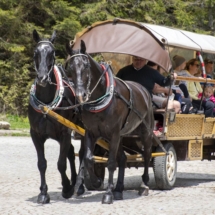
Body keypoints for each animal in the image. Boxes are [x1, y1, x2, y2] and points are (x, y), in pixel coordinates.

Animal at [28, 29, 85, 203]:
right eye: (35, 52)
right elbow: (42, 163)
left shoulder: (65, 133)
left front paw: (66, 188)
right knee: (71, 153)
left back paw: (79, 185)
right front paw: (43, 193)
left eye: (52, 53)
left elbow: (61, 164)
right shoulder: (36, 134)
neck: (46, 103)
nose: (42, 78)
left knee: (82, 153)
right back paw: (74, 180)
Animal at [65, 40, 156, 205]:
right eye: (70, 68)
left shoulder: (113, 134)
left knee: (147, 155)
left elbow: (111, 163)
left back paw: (144, 185)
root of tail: (144, 90)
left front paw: (107, 194)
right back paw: (119, 189)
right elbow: (88, 158)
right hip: (121, 136)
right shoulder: (92, 133)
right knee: (123, 158)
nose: (81, 95)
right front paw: (96, 182)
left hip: (145, 132)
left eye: (86, 66)